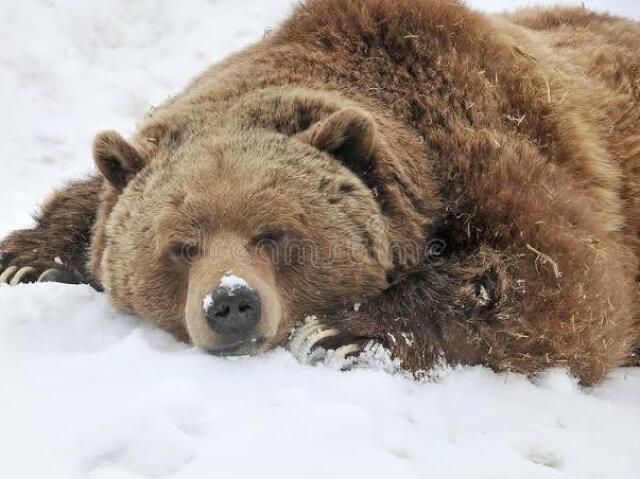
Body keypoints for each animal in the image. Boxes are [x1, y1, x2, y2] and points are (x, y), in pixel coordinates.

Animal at [1, 0, 640, 384]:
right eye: (181, 246)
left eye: (272, 234)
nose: (231, 303)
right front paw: (27, 260)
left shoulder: (498, 152)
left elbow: (564, 281)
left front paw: (341, 331)